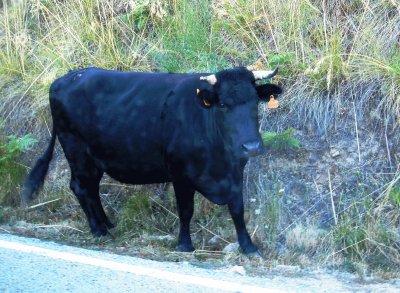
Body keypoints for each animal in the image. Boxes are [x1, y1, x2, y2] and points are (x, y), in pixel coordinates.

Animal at [23, 66, 282, 253]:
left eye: (255, 102)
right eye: (223, 104)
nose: (251, 146)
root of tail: (65, 78)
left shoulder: (236, 171)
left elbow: (238, 210)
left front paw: (248, 247)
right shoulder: (180, 174)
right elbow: (186, 210)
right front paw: (184, 245)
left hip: (94, 158)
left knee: (91, 188)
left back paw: (107, 224)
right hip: (75, 150)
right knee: (80, 187)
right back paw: (98, 229)